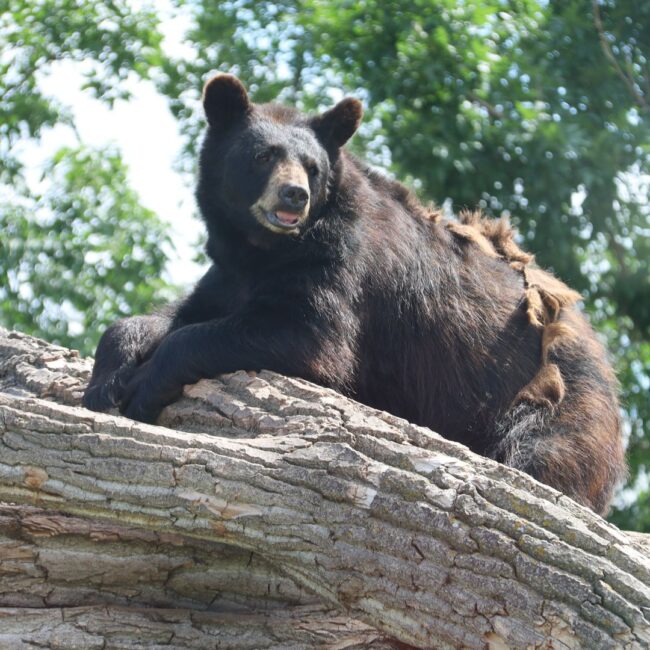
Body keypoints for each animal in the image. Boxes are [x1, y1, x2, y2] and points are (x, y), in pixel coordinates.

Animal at [83, 73, 626, 515]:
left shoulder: (343, 265)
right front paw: (107, 377)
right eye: (263, 155)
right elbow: (181, 313)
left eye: (311, 166)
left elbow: (308, 336)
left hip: (556, 396)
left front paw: (144, 384)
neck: (266, 250)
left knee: (541, 452)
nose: (294, 195)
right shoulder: (229, 274)